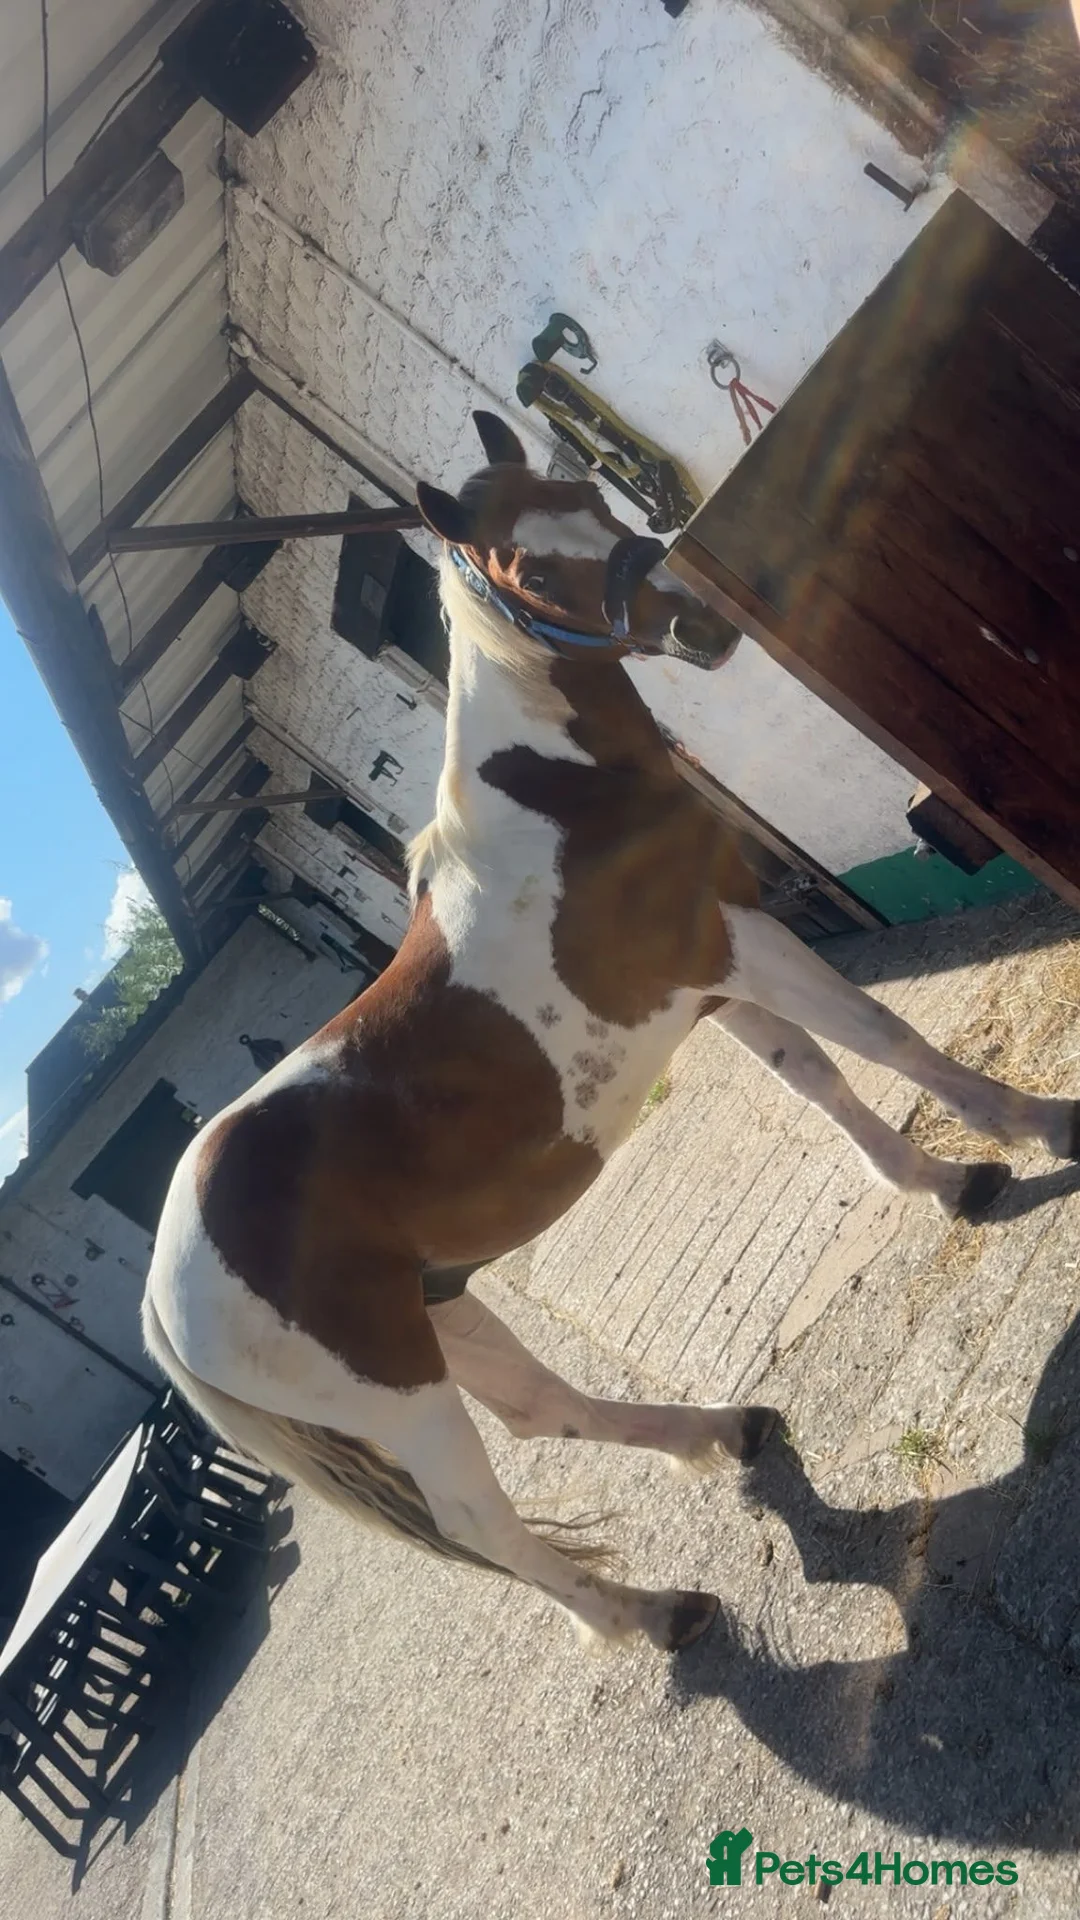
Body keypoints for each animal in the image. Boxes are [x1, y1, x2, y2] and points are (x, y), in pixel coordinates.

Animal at [144, 410, 1080, 1652]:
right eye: (531, 572)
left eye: (593, 495)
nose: (699, 618)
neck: (564, 805)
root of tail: (163, 1300)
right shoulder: (736, 942)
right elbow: (884, 1040)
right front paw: (1044, 1128)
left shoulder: (718, 981)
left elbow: (821, 1081)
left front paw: (950, 1183)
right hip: (397, 1394)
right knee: (483, 1525)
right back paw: (655, 1614)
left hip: (446, 1310)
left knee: (545, 1411)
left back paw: (725, 1436)